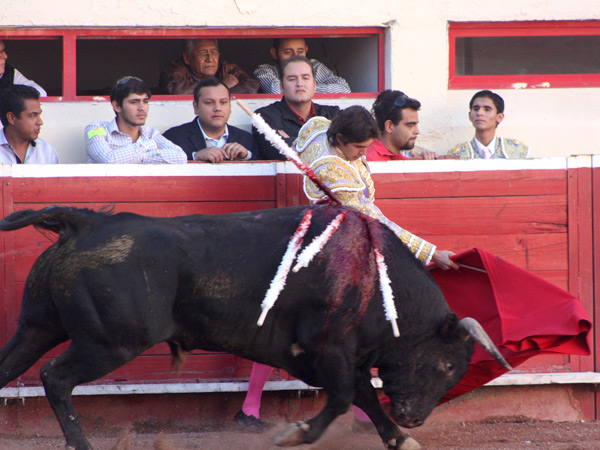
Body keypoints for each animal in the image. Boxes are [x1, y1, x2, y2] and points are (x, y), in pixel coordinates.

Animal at [0, 204, 509, 450]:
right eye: (447, 366)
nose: (415, 417)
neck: (375, 278)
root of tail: (87, 223)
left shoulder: (329, 357)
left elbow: (363, 395)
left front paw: (401, 439)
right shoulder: (330, 350)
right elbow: (344, 398)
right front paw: (296, 434)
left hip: (37, 327)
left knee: (11, 367)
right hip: (111, 343)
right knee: (55, 378)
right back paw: (81, 444)